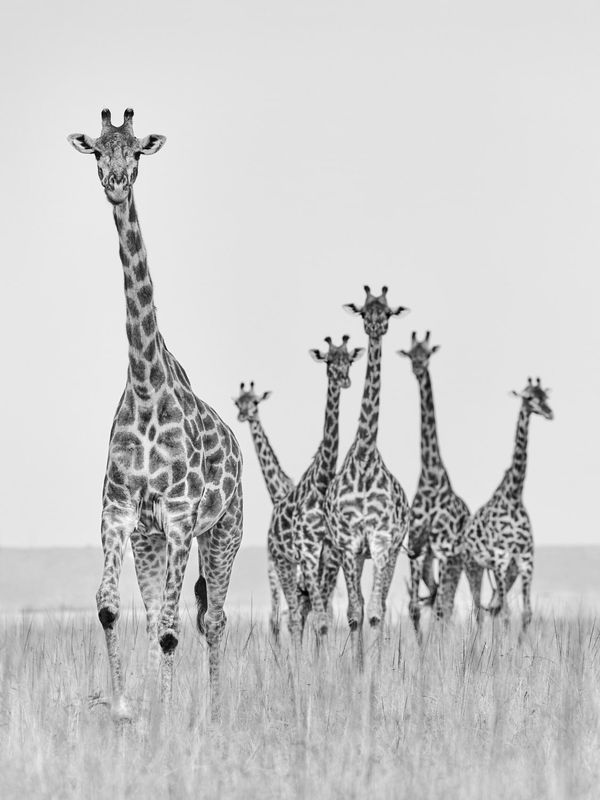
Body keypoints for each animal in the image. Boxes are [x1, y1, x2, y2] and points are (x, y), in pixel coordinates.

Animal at [68, 108, 243, 718]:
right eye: (98, 151)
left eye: (138, 151)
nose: (116, 183)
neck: (145, 390)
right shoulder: (120, 514)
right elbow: (110, 607)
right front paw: (126, 707)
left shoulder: (182, 519)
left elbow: (173, 627)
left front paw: (166, 715)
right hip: (152, 541)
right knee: (156, 618)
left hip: (224, 532)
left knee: (212, 619)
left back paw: (215, 710)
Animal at [268, 336, 364, 647]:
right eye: (329, 360)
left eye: (349, 360)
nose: (344, 380)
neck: (321, 483)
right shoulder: (308, 553)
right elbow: (314, 617)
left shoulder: (328, 554)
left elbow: (325, 616)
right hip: (283, 562)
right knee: (292, 617)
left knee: (301, 613)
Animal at [463, 377, 553, 632]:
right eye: (528, 397)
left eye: (545, 396)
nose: (549, 412)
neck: (514, 495)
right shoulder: (501, 558)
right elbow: (505, 613)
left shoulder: (525, 560)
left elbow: (526, 614)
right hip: (474, 567)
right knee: (480, 611)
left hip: (506, 571)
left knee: (493, 607)